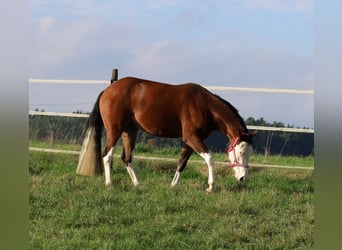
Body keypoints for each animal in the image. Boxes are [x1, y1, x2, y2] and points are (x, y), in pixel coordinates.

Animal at [76, 77, 255, 192]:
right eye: (240, 152)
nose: (243, 178)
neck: (204, 105)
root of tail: (107, 90)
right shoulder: (192, 137)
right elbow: (210, 159)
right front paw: (211, 186)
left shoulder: (190, 140)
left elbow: (182, 163)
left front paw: (173, 185)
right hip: (115, 130)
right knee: (107, 155)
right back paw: (110, 184)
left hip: (130, 131)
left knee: (126, 158)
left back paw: (138, 184)